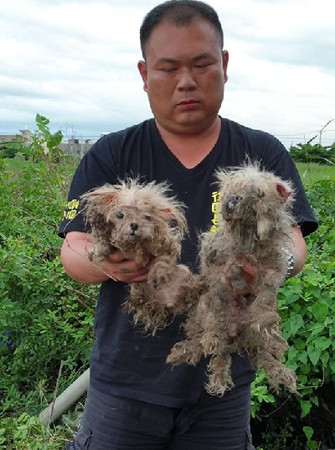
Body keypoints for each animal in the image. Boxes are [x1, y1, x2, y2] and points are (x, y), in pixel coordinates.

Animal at [81, 179, 192, 334]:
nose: (134, 225)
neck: (136, 245)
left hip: (185, 274)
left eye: (147, 217)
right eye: (120, 215)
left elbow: (162, 259)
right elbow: (104, 241)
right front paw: (99, 246)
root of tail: (167, 302)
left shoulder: (165, 246)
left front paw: (159, 273)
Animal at [168, 163, 300, 396]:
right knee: (211, 343)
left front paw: (264, 319)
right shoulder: (218, 266)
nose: (234, 200)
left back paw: (280, 369)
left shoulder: (273, 269)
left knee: (255, 352)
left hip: (250, 338)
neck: (247, 242)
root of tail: (234, 335)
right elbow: (220, 288)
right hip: (203, 312)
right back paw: (192, 353)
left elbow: (266, 296)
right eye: (232, 189)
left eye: (260, 194)